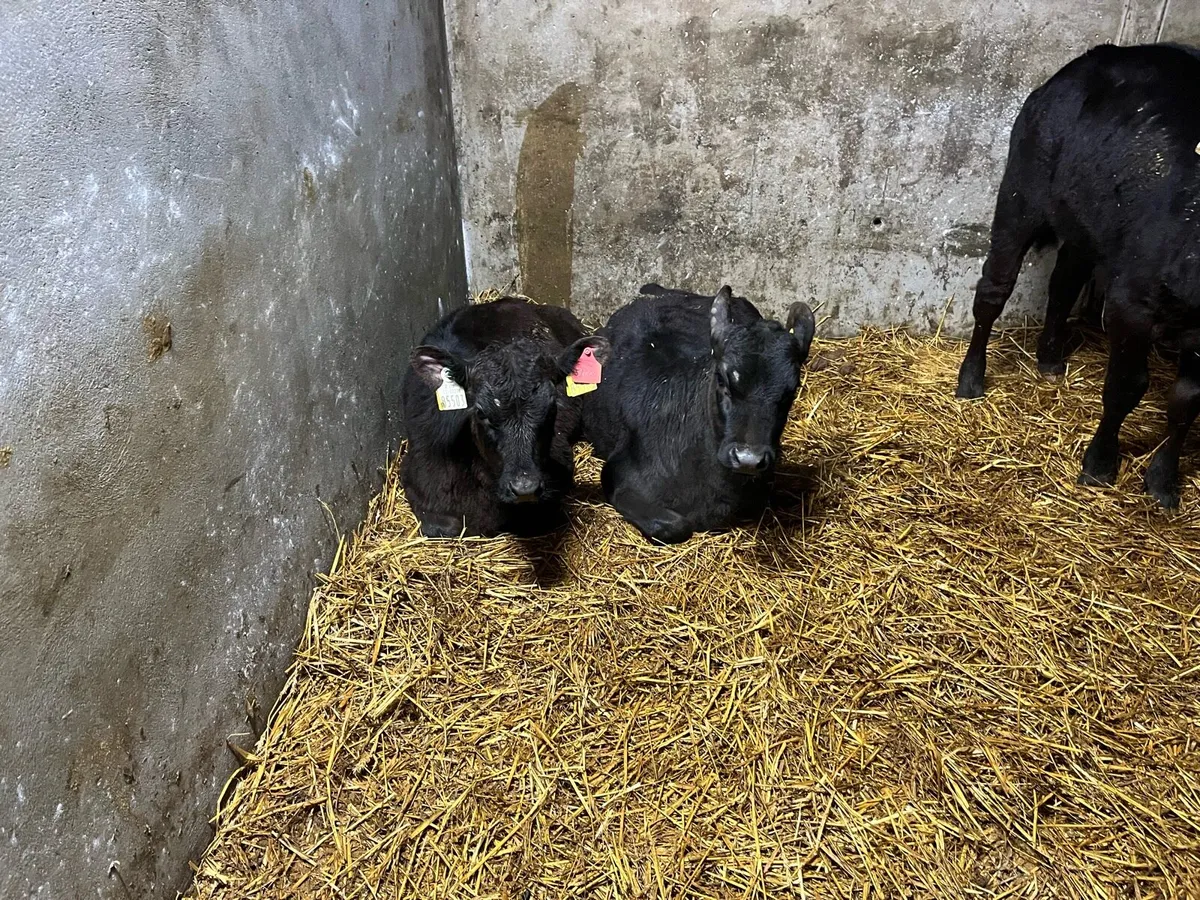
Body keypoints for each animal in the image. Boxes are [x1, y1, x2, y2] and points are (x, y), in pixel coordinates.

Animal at [955, 43, 1200, 508]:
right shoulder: (1131, 303)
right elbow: (1126, 385)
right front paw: (1101, 463)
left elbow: (1187, 401)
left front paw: (1163, 480)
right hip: (1021, 192)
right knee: (994, 290)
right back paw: (971, 378)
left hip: (1084, 223)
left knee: (1064, 282)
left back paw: (1050, 355)